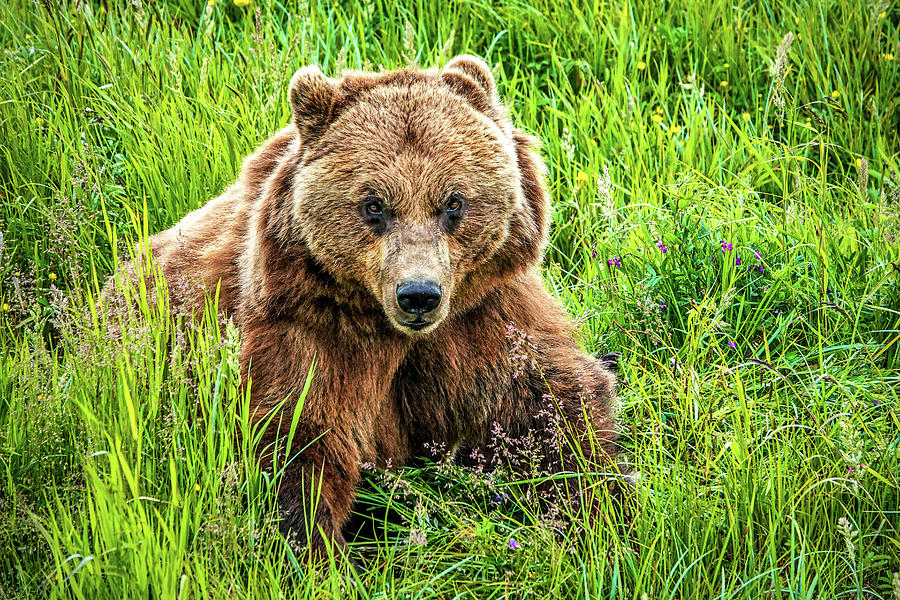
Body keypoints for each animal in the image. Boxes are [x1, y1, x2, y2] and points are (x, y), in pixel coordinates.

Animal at [125, 55, 620, 552]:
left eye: (453, 202)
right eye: (374, 205)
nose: (418, 294)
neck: (388, 327)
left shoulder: (483, 318)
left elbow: (552, 407)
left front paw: (597, 513)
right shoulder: (310, 333)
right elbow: (294, 439)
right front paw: (319, 549)